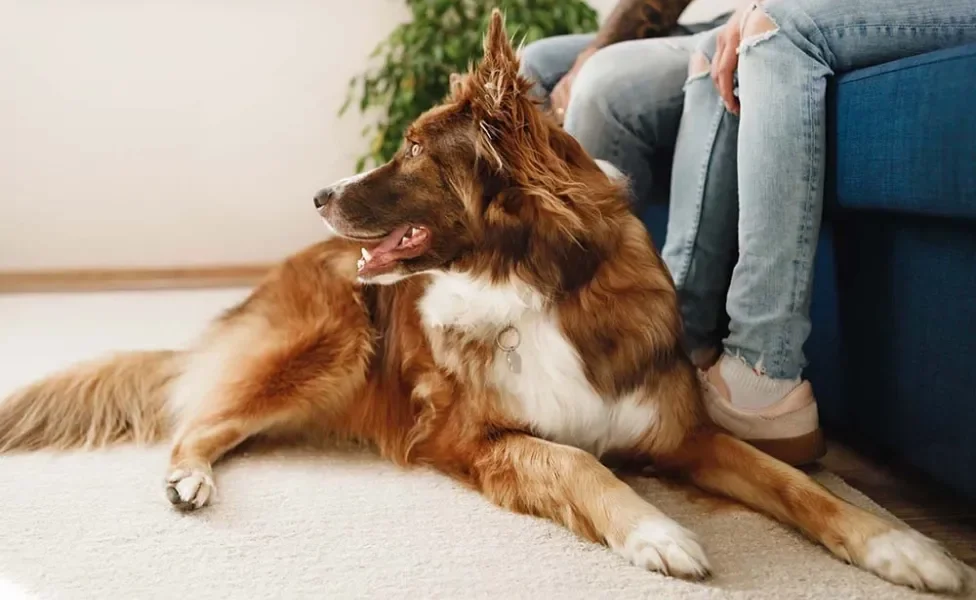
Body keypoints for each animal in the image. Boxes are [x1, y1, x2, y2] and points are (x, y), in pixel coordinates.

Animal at [0, 11, 968, 592]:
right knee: (200, 421)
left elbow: (797, 485)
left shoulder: (683, 433)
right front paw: (657, 532)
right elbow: (578, 463)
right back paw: (190, 478)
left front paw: (904, 547)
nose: (319, 193)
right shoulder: (476, 439)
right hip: (333, 348)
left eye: (413, 149)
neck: (535, 287)